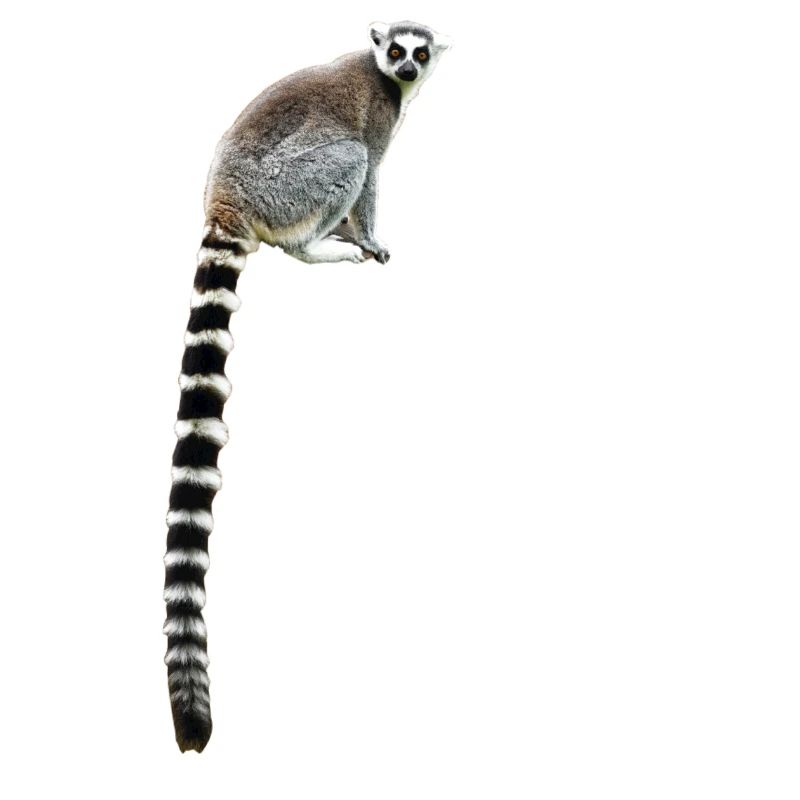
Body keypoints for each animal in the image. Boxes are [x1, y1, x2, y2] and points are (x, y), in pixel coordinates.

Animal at [163, 20, 451, 752]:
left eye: (420, 51)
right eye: (395, 52)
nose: (408, 69)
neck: (389, 84)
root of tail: (226, 199)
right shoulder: (378, 121)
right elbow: (371, 173)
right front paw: (368, 237)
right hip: (288, 184)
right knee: (342, 166)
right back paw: (320, 247)